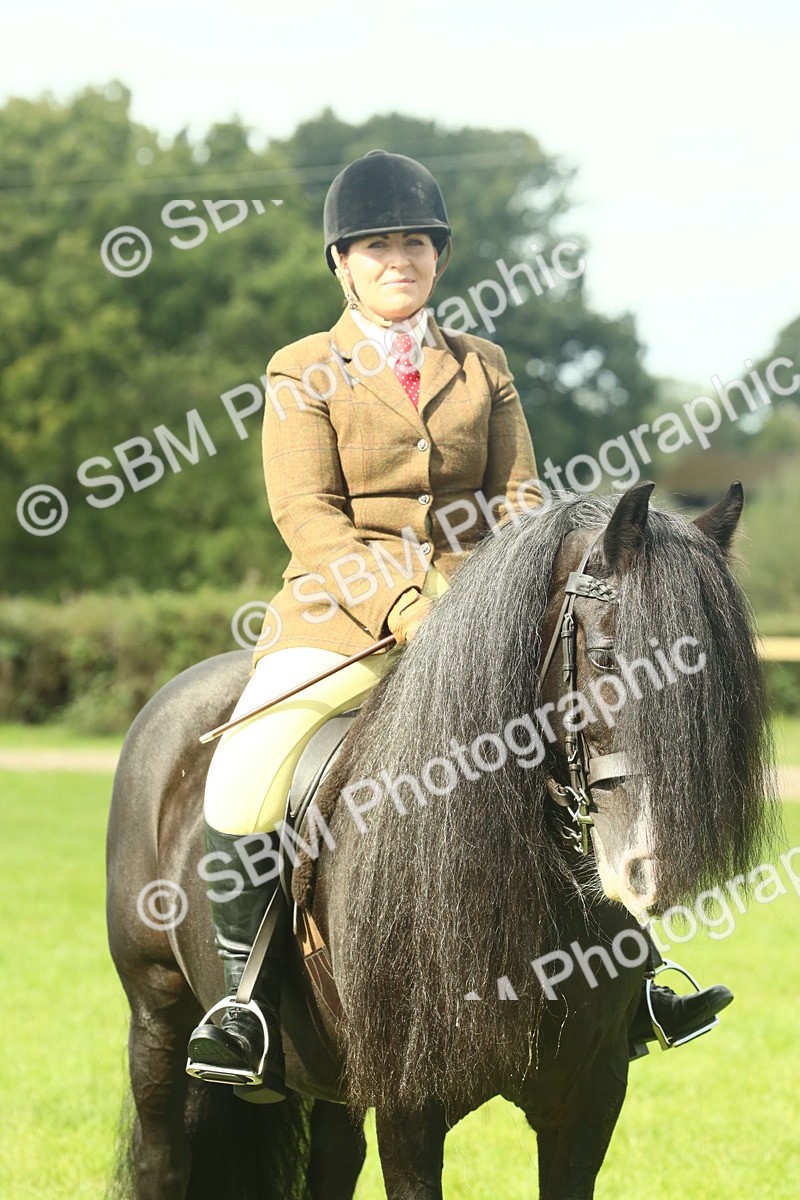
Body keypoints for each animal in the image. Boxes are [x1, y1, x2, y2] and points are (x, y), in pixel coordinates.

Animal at [106, 481, 777, 1199]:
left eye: (722, 679)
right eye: (603, 658)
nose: (650, 869)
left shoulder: (587, 1101)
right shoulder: (409, 1106)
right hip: (156, 1016)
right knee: (162, 1156)